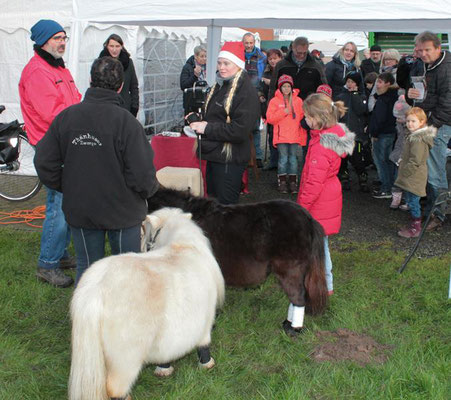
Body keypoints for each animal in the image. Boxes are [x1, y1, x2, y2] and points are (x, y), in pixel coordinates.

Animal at [68, 208, 226, 398]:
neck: (183, 245)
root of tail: (94, 290)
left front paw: (164, 369)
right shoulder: (205, 321)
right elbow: (204, 345)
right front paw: (207, 364)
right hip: (125, 358)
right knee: (115, 388)